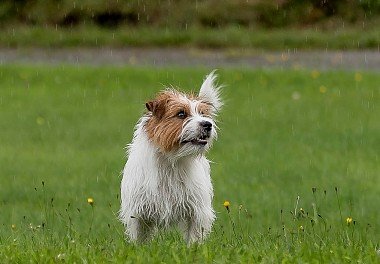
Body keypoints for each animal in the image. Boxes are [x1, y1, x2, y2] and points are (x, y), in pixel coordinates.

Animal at [119, 70, 223, 243]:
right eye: (181, 114)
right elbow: (140, 239)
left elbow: (194, 238)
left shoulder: (197, 212)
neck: (171, 161)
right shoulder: (139, 214)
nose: (208, 124)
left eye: (202, 113)